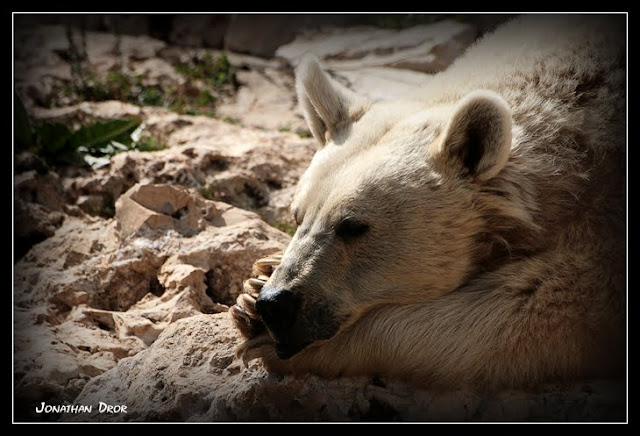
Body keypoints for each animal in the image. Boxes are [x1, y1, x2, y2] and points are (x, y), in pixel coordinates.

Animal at [230, 14, 626, 390]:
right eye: (298, 216)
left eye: (353, 226)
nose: (274, 305)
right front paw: (255, 284)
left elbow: (531, 307)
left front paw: (263, 335)